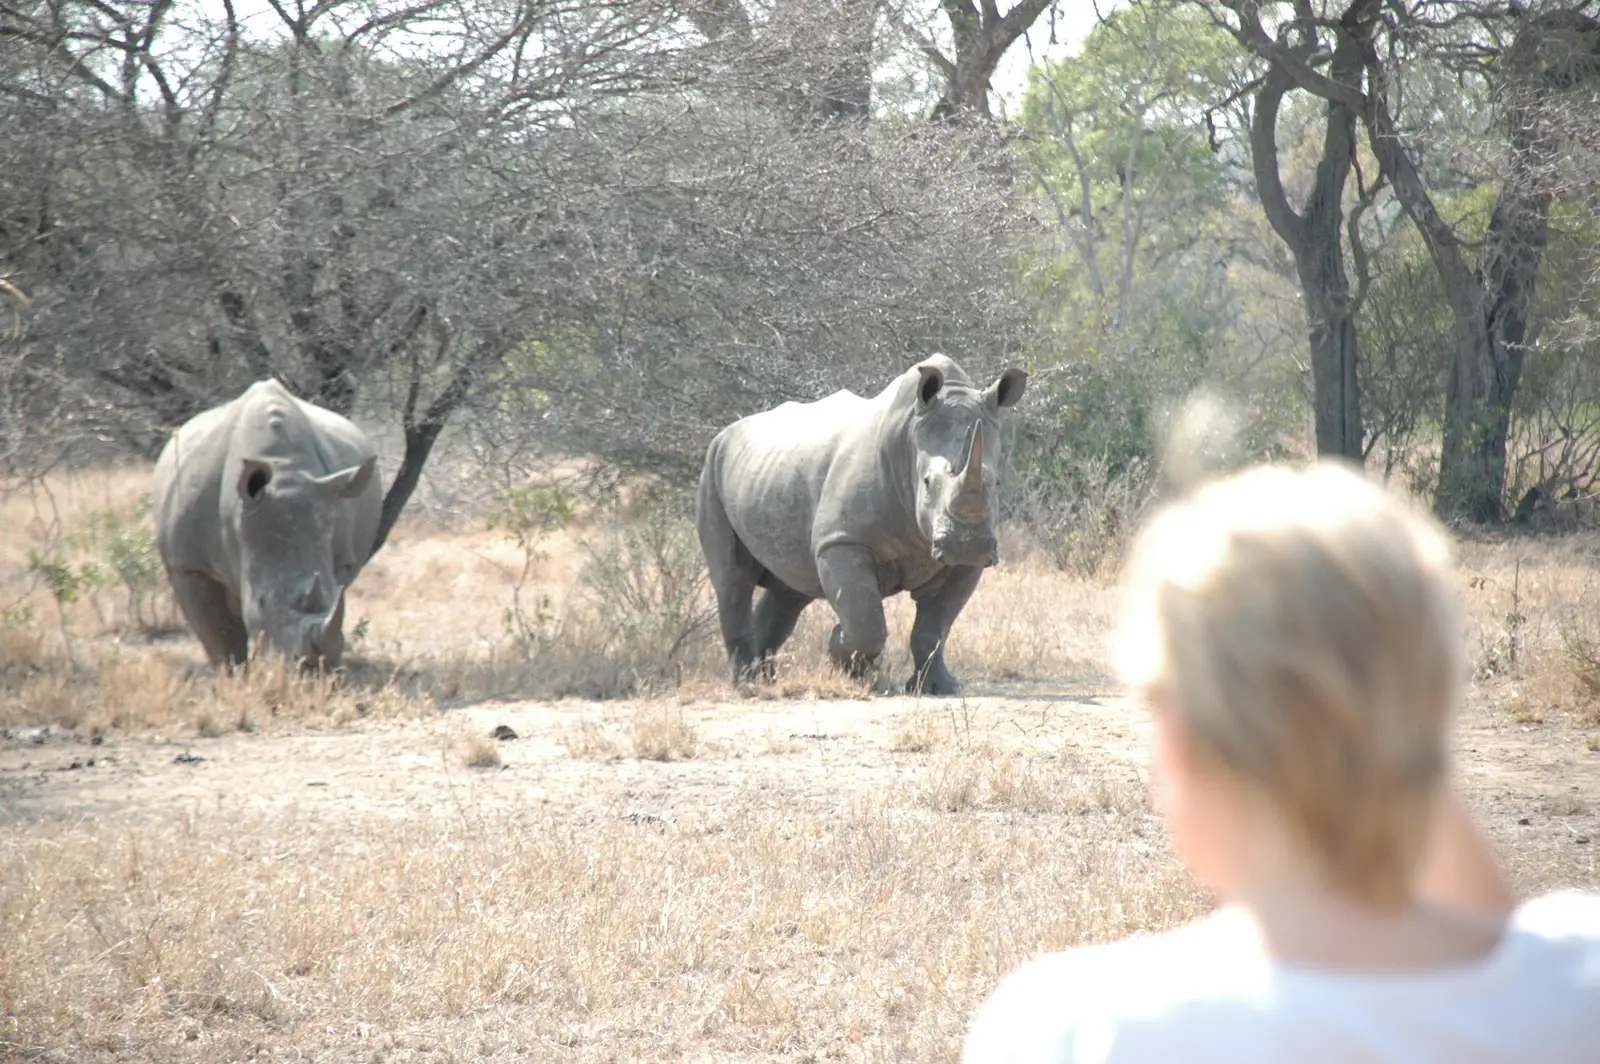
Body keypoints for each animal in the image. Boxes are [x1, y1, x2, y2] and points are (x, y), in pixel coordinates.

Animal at [697, 352, 1024, 694]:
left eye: (996, 484)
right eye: (927, 482)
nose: (967, 545)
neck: (909, 439)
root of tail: (724, 433)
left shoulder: (965, 563)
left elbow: (935, 627)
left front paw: (937, 688)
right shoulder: (842, 539)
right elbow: (865, 621)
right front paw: (848, 660)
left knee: (790, 588)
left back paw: (765, 678)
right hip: (712, 469)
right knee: (733, 580)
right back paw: (746, 684)